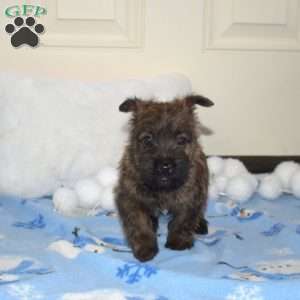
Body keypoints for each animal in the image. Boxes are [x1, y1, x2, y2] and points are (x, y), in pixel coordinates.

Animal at [115, 95, 213, 262]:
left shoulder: (193, 196)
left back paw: (200, 224)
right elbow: (139, 223)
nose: (165, 166)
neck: (163, 189)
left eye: (181, 140)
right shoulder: (130, 198)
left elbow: (184, 220)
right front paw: (145, 248)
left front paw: (178, 241)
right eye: (147, 139)